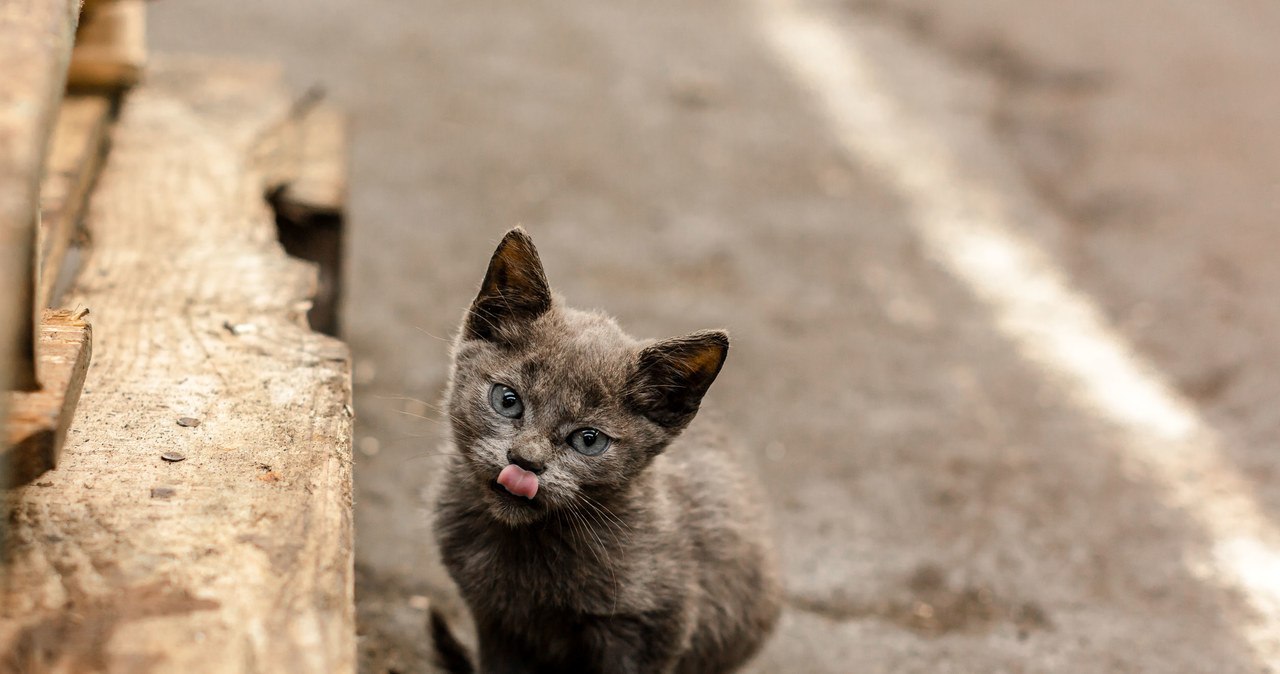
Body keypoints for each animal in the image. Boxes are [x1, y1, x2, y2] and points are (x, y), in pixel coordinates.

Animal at [430, 228, 778, 670]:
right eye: (507, 400)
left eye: (589, 440)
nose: (525, 461)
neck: (526, 544)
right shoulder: (494, 622)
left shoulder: (653, 627)